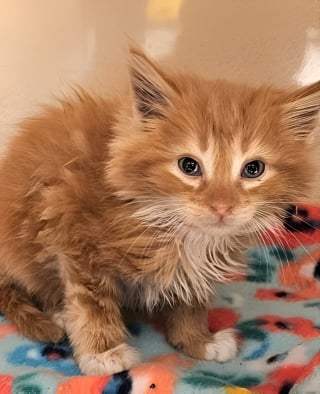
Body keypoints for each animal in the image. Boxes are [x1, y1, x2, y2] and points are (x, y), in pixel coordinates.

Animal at [0, 47, 318, 374]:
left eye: (254, 169)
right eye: (188, 166)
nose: (221, 206)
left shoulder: (194, 270)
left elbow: (192, 298)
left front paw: (198, 341)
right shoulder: (71, 229)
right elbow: (90, 302)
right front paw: (103, 353)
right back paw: (58, 314)